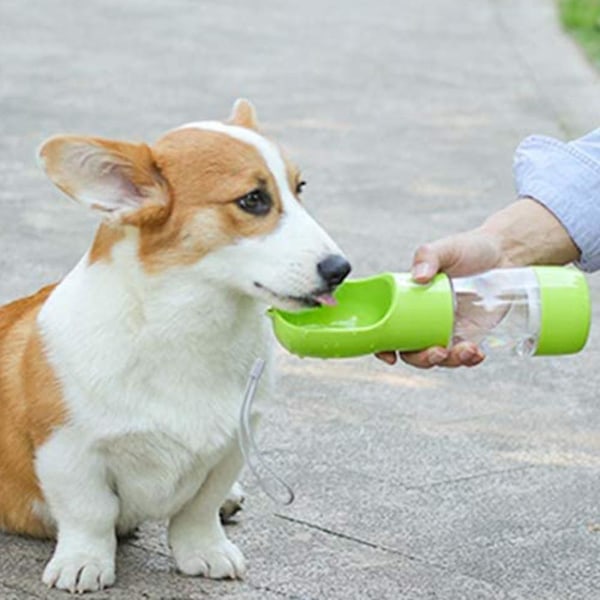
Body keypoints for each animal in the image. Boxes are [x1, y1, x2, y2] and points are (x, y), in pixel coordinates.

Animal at [0, 101, 350, 592]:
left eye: (299, 189)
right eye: (253, 200)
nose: (341, 269)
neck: (191, 331)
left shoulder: (232, 446)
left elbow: (198, 510)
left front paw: (206, 552)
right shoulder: (67, 449)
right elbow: (90, 512)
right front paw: (83, 563)